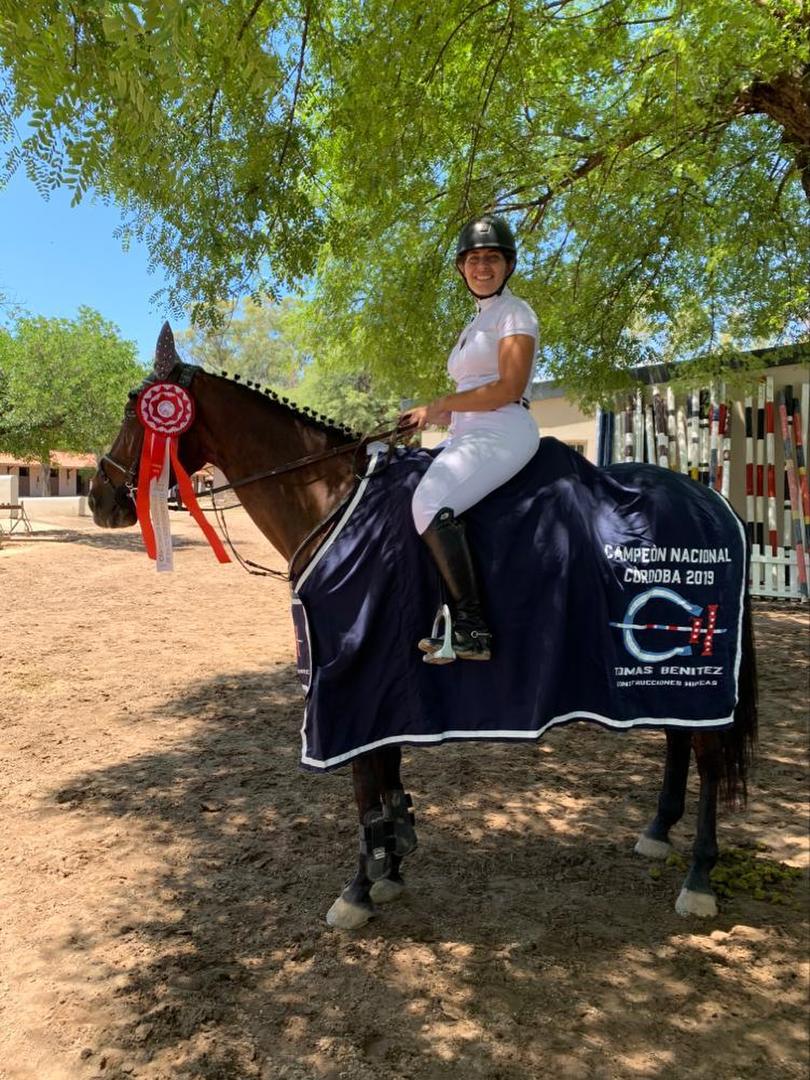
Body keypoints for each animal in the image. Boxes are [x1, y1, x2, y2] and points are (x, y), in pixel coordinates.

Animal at [91, 324, 760, 933]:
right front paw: (392, 862)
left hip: (690, 669)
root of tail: (705, 498)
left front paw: (359, 888)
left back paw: (699, 876)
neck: (334, 496)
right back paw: (657, 831)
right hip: (662, 672)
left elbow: (365, 783)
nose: (101, 498)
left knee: (705, 754)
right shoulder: (380, 685)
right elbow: (386, 773)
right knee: (679, 739)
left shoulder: (350, 676)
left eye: (133, 405)